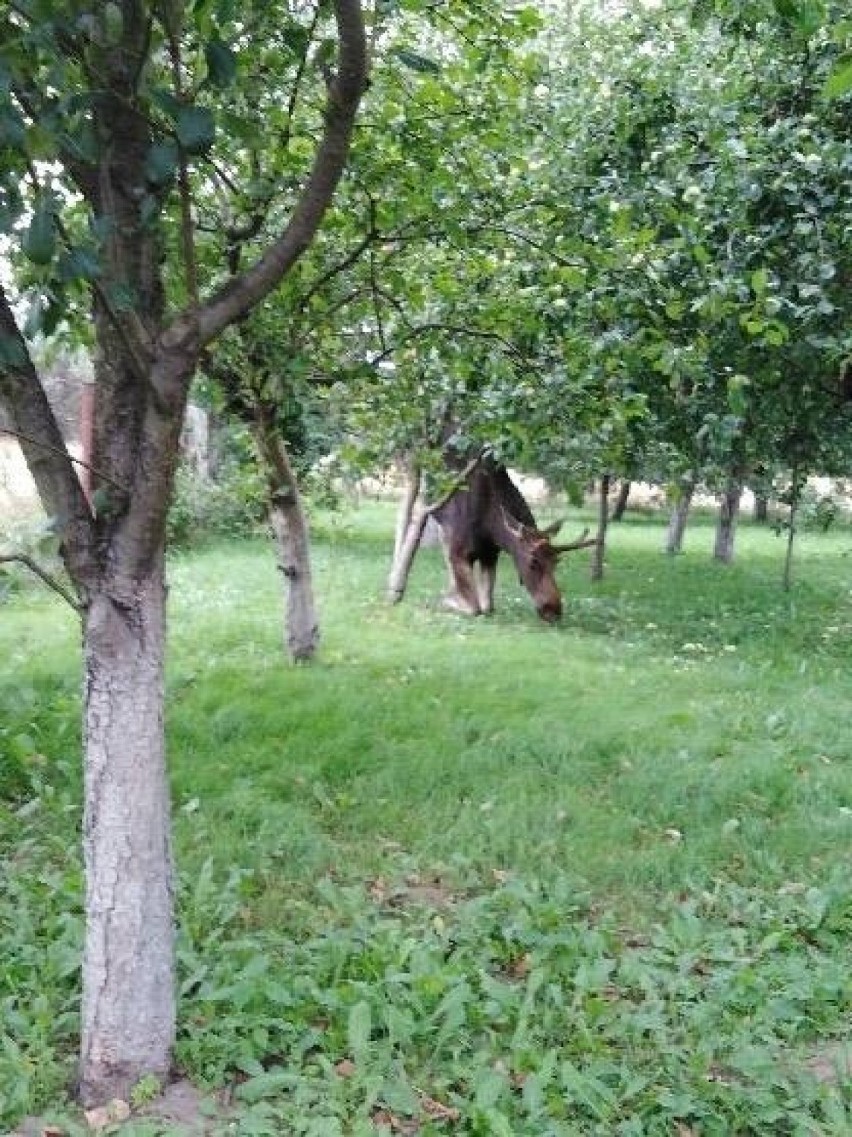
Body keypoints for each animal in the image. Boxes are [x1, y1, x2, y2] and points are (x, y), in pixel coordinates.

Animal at [427, 457, 596, 627]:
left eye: (556, 562)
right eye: (533, 562)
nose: (553, 611)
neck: (490, 525)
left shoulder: (490, 554)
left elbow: (487, 607)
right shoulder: (459, 551)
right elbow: (475, 609)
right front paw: (447, 602)